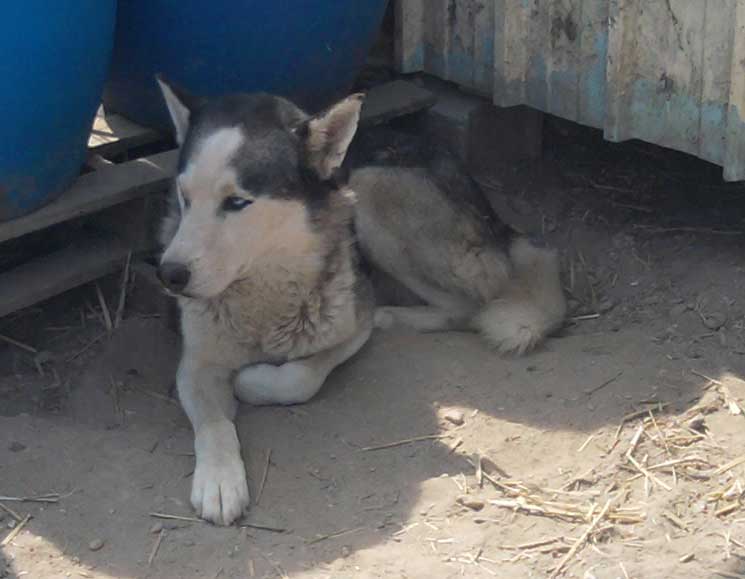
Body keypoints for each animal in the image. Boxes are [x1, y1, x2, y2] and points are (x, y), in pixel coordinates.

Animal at [155, 79, 564, 528]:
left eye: (237, 202)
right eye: (184, 196)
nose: (169, 274)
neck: (264, 296)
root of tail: (495, 220)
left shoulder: (349, 327)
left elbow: (300, 378)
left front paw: (251, 381)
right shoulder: (196, 363)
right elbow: (214, 424)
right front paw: (219, 479)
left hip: (370, 190)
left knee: (468, 304)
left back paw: (393, 314)